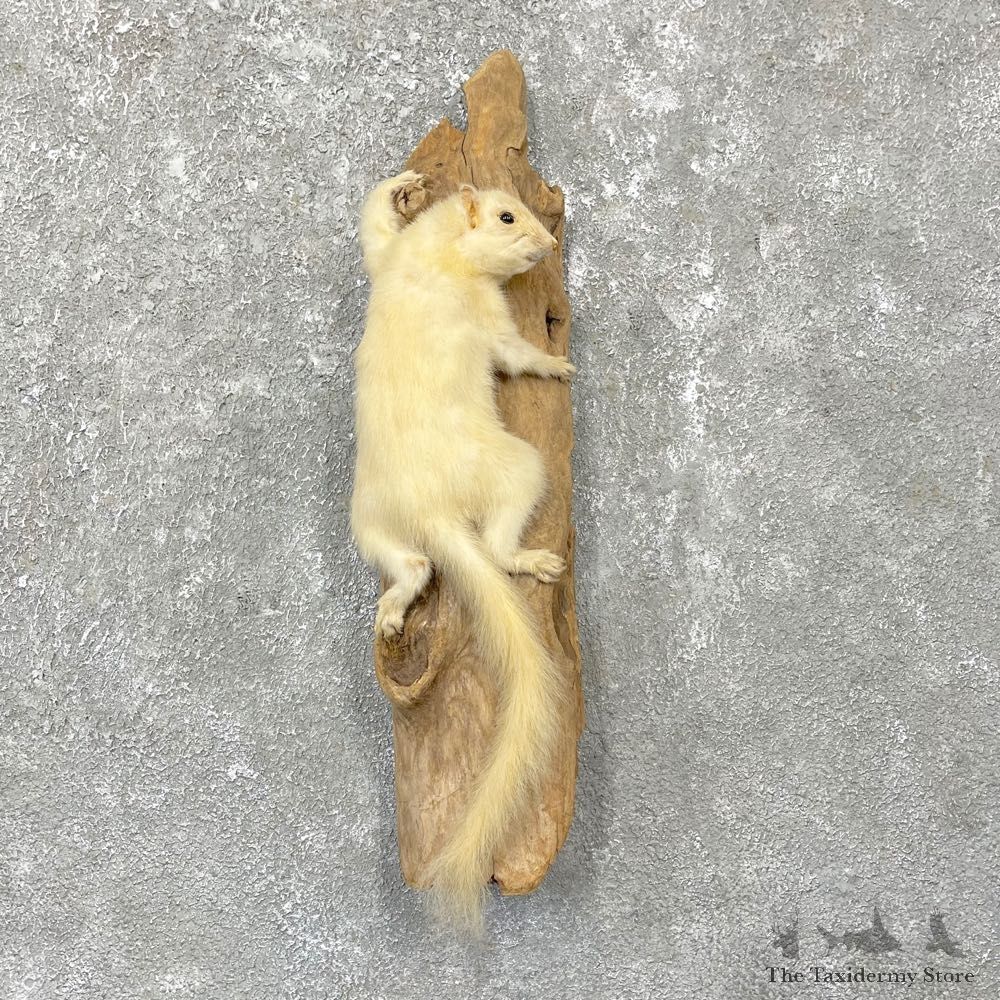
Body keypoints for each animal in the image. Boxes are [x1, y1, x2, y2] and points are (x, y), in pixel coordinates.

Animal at [350, 170, 574, 931]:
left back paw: (393, 609)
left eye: (527, 207)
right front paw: (561, 362)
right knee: (499, 542)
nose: (548, 242)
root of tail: (434, 511)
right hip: (518, 466)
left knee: (413, 565)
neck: (434, 252)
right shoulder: (486, 313)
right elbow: (516, 353)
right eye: (509, 217)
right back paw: (535, 560)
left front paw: (401, 186)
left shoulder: (386, 258)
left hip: (368, 519)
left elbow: (370, 232)